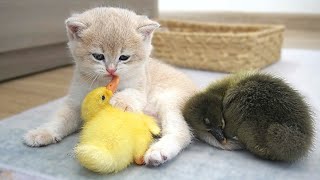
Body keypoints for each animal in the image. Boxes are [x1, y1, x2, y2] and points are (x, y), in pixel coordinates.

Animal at [22, 7, 196, 167]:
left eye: (124, 57)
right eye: (98, 56)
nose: (111, 69)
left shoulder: (141, 86)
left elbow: (132, 93)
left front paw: (120, 101)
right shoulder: (75, 102)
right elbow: (60, 120)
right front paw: (43, 132)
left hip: (167, 101)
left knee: (183, 133)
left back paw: (158, 152)